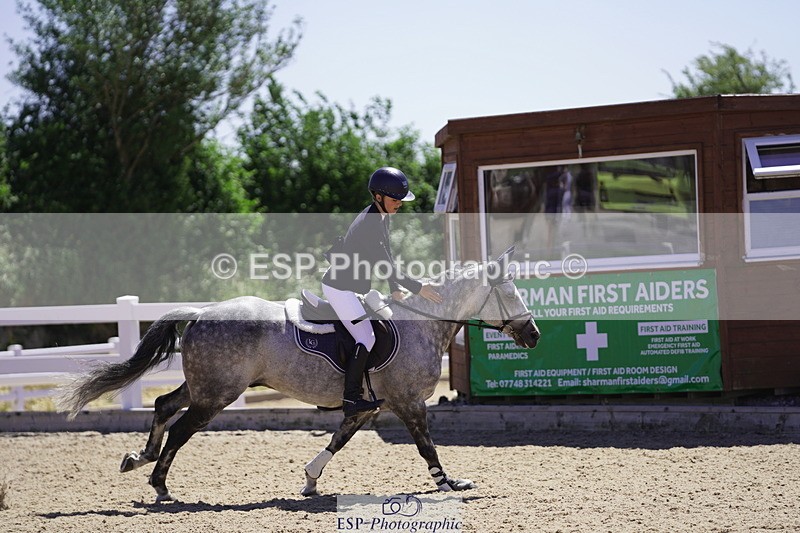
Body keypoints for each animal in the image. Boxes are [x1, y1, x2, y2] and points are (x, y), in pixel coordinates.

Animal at [57, 249, 540, 502]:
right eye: (510, 293)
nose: (534, 334)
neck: (420, 322)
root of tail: (200, 313)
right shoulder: (408, 402)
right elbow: (426, 447)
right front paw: (450, 484)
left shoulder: (368, 407)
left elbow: (339, 439)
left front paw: (309, 480)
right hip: (216, 396)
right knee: (180, 430)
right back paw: (160, 485)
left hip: (205, 386)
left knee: (162, 405)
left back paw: (137, 458)